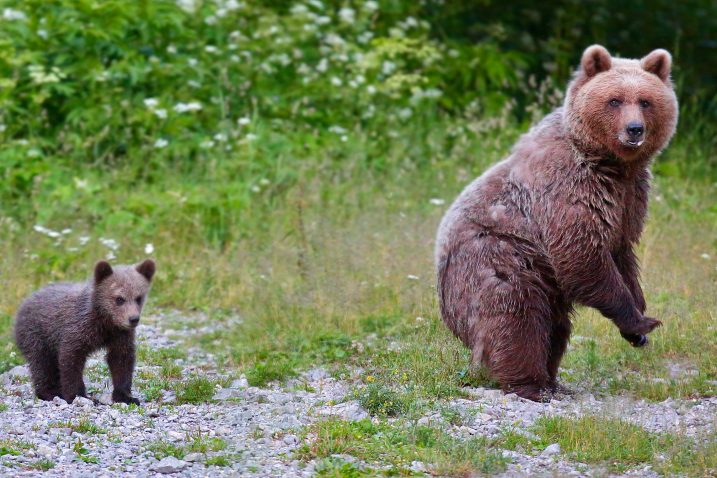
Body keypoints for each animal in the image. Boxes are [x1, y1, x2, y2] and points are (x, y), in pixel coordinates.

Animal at [436, 46, 676, 402]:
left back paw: (553, 381)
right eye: (615, 100)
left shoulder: (629, 198)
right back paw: (532, 385)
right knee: (517, 318)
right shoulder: (568, 190)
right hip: (498, 260)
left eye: (645, 101)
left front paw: (638, 321)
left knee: (556, 325)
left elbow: (622, 252)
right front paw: (640, 322)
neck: (611, 165)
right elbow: (581, 255)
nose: (634, 129)